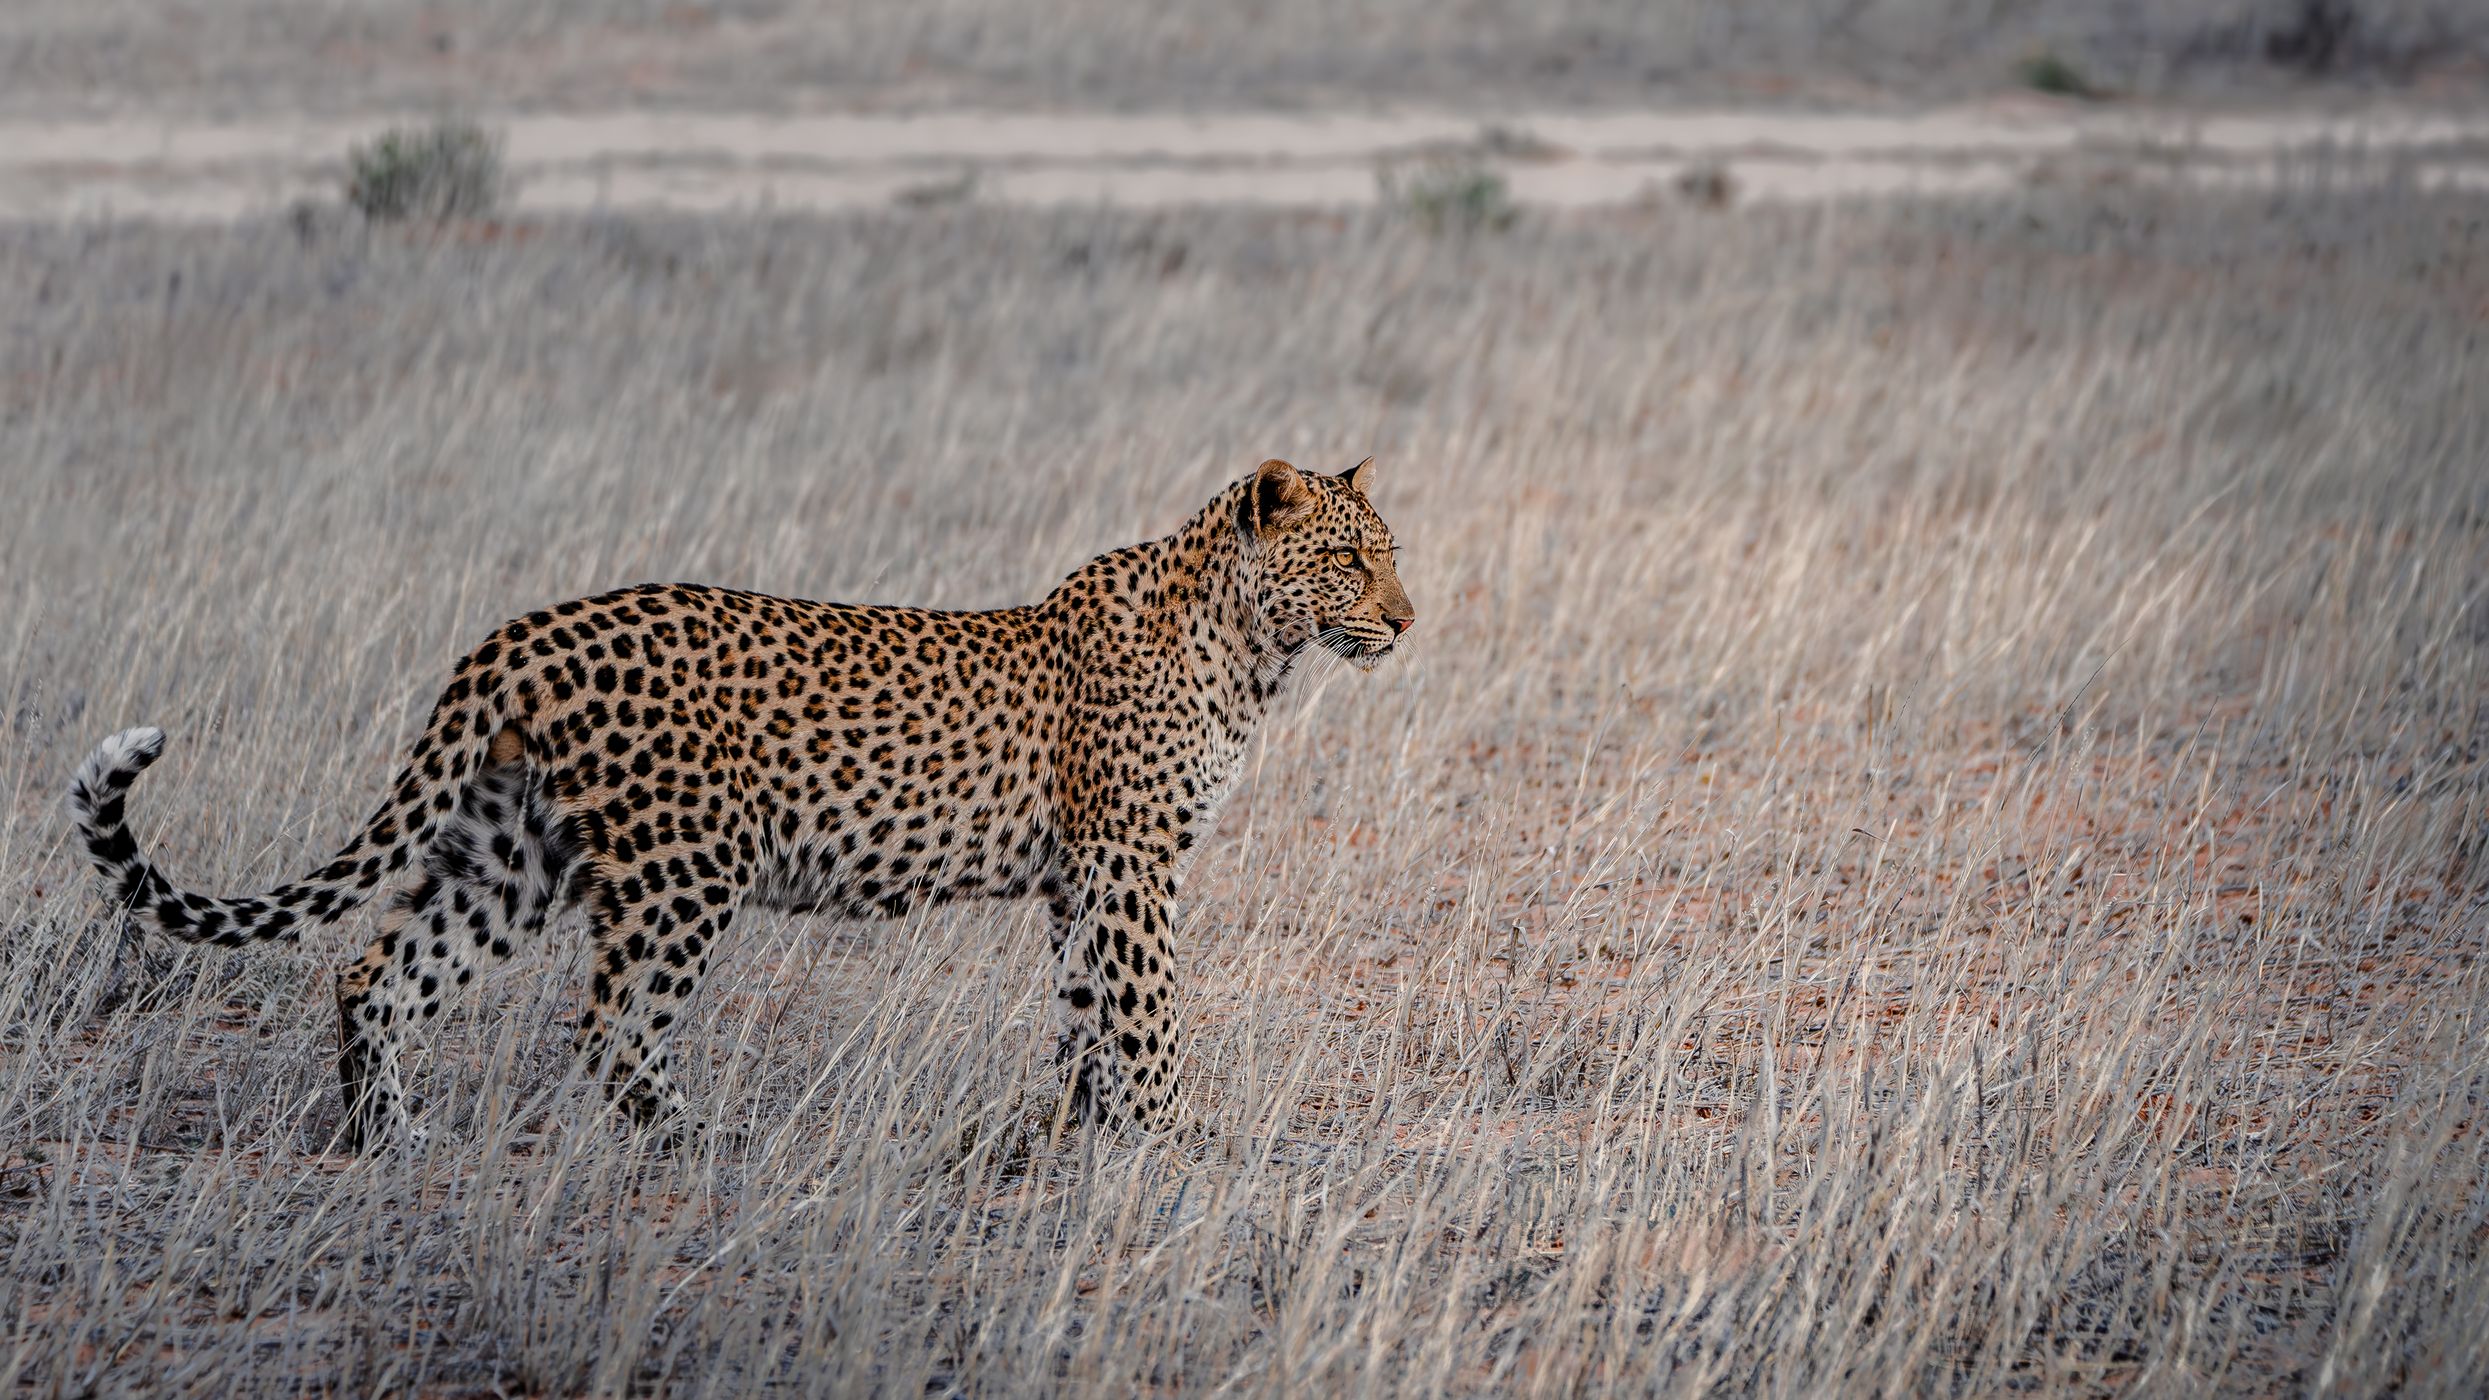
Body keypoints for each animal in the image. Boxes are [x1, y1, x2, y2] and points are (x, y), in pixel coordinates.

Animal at [67, 457, 1413, 1150]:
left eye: (1388, 552)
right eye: (1350, 557)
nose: (1406, 619)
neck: (1249, 645)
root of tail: (521, 629)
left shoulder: (1082, 877)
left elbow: (1086, 1011)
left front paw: (1077, 1135)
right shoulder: (1129, 860)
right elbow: (1148, 1011)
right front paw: (1174, 1140)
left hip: (510, 852)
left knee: (376, 974)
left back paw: (390, 1143)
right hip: (681, 868)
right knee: (613, 1026)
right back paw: (700, 1145)